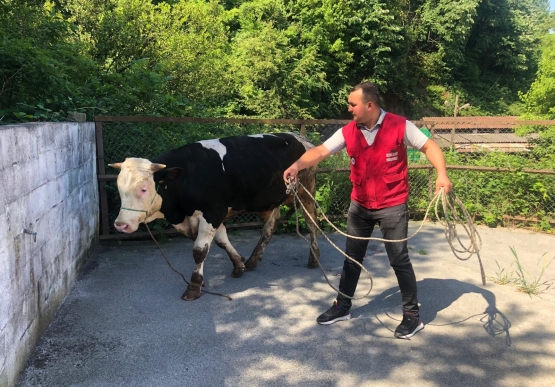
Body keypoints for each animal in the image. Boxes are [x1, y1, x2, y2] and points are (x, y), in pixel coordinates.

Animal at [108, 133, 322, 300]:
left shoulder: (213, 212)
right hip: (271, 200)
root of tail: (300, 137)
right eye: (119, 187)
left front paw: (194, 286)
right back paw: (253, 259)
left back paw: (314, 258)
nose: (121, 225)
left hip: (306, 190)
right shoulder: (208, 216)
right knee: (271, 223)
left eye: (143, 189)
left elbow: (200, 250)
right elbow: (222, 241)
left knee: (312, 222)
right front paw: (239, 264)